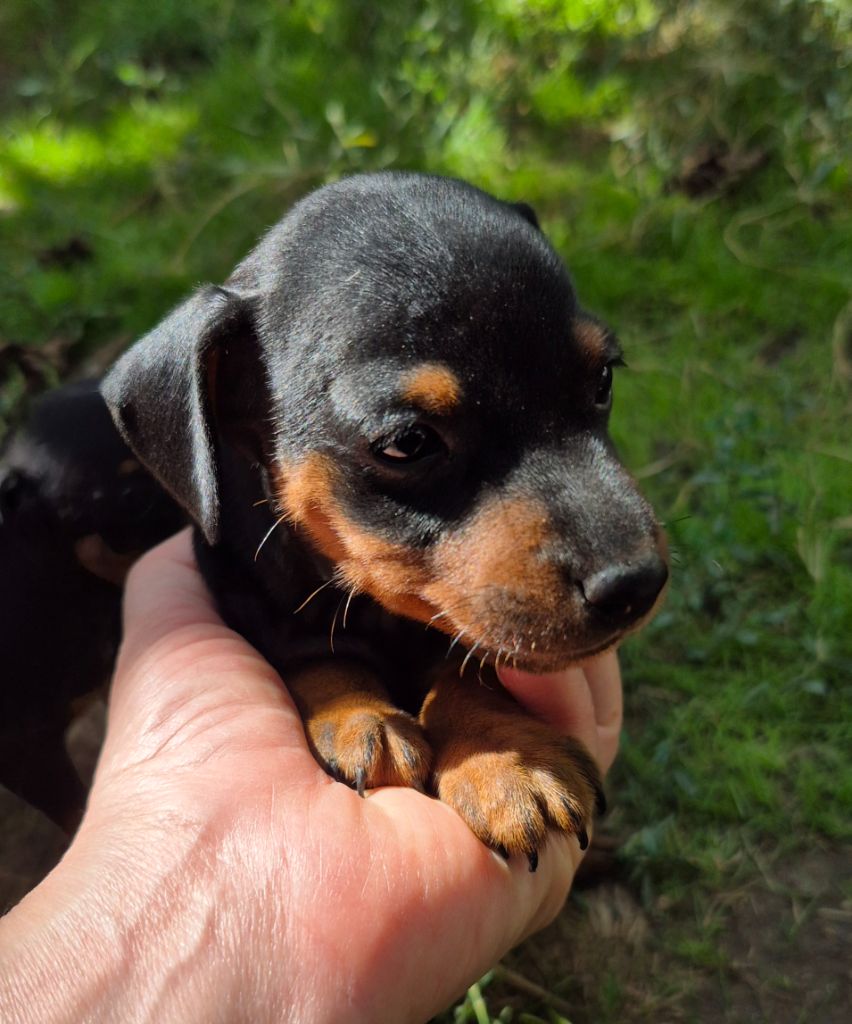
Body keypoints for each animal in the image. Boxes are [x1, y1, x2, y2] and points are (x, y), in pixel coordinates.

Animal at [1, 173, 668, 867]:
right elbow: (313, 654)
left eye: (602, 380)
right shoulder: (249, 597)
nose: (637, 584)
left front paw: (508, 757)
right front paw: (359, 717)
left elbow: (466, 659)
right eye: (408, 442)